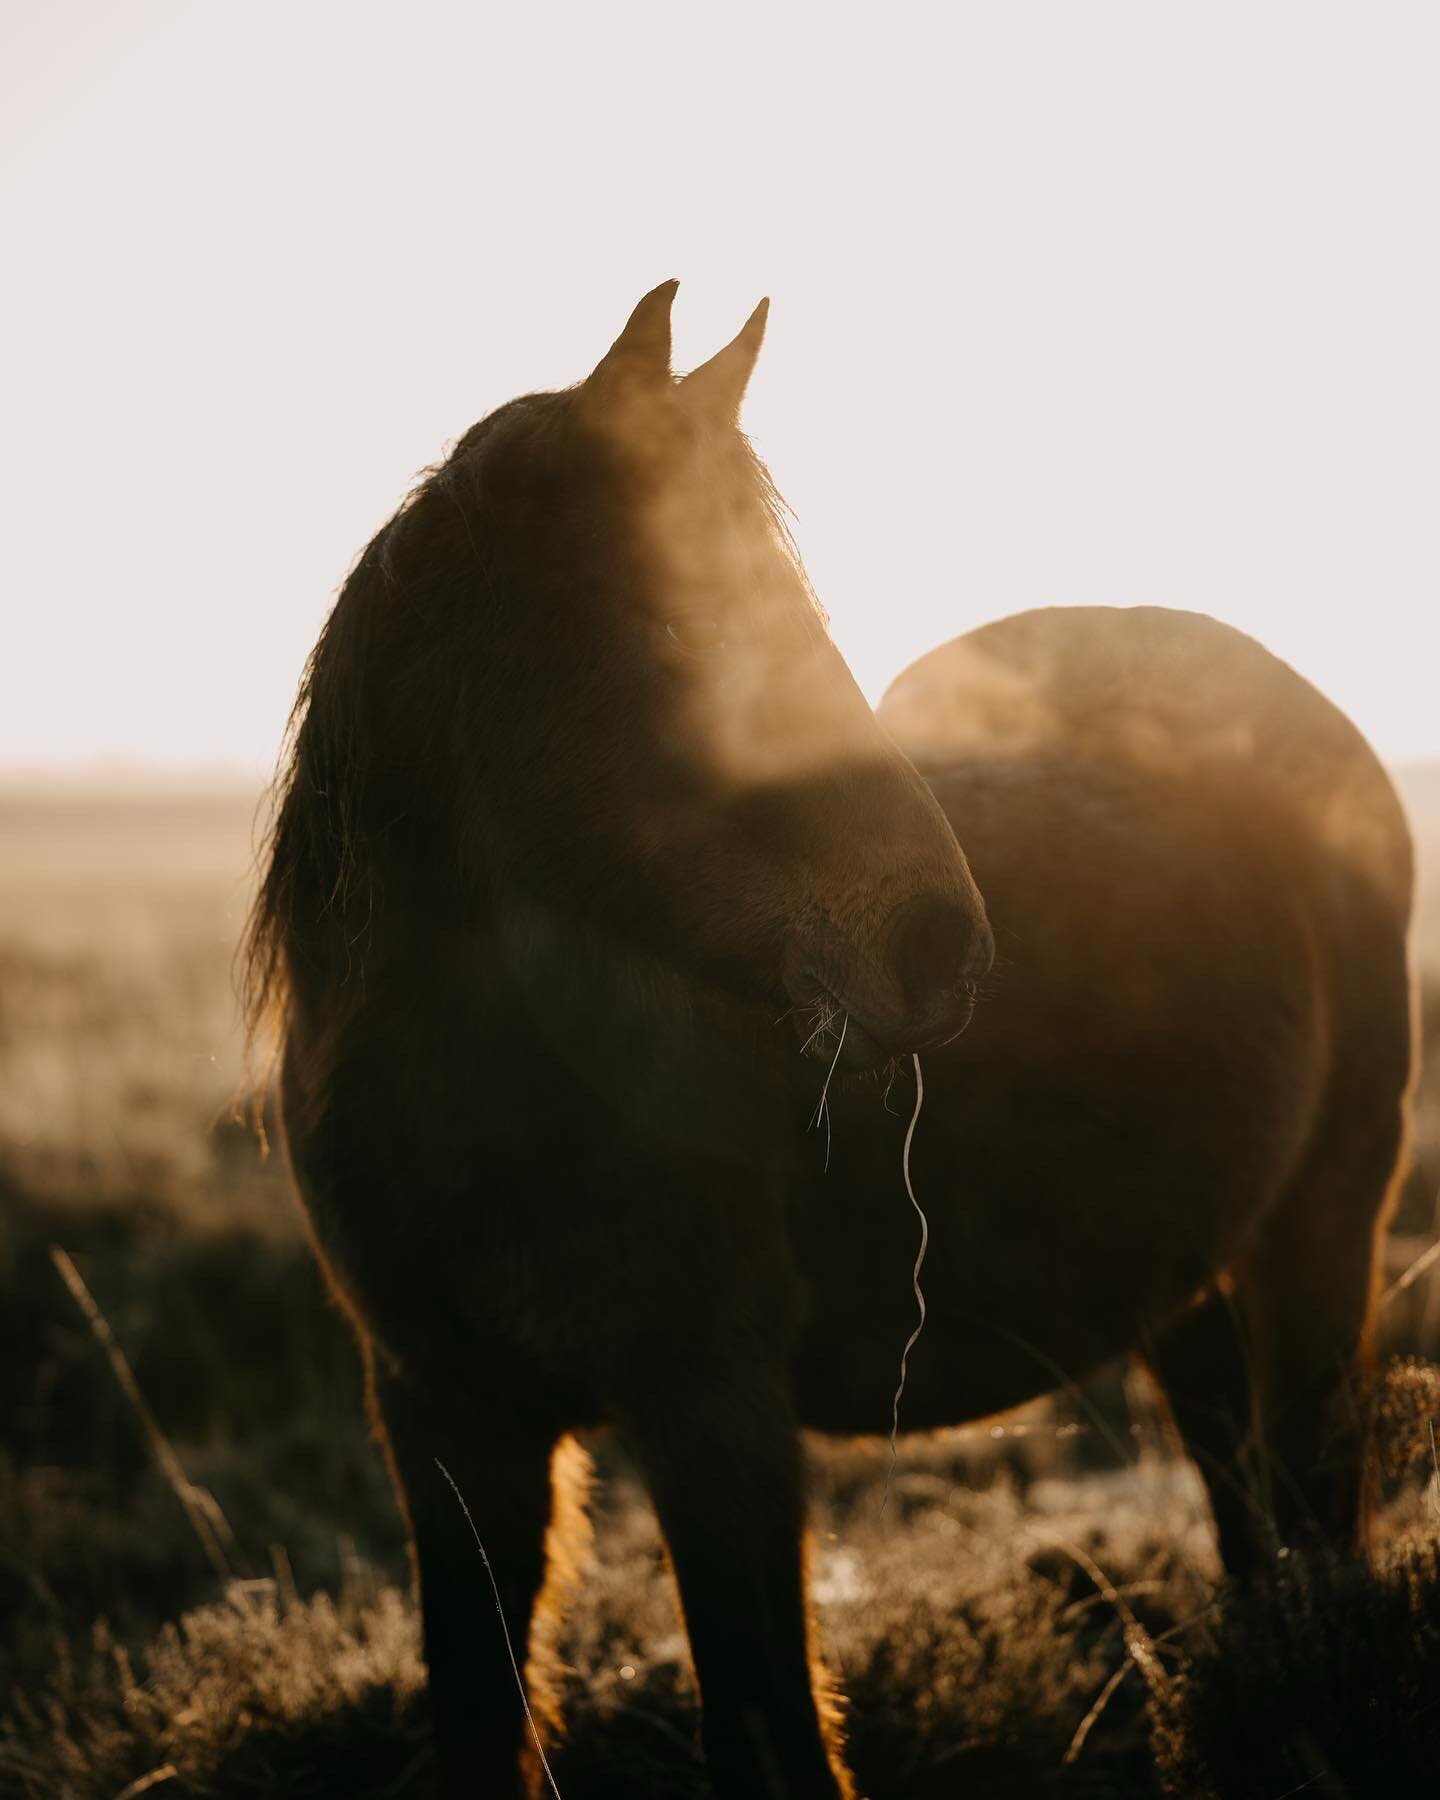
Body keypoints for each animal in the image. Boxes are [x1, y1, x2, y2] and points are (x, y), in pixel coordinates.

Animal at [241, 284, 1411, 1800]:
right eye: (682, 629)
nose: (943, 944)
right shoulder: (446, 1421)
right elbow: (483, 1718)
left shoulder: (717, 1408)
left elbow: (770, 1728)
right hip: (1192, 1267)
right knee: (1238, 1484)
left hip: (1322, 1226)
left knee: (1316, 1500)